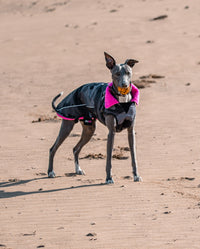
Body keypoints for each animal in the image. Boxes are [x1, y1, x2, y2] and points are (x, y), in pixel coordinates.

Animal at [48, 52, 141, 183]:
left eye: (128, 72)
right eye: (117, 74)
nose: (124, 85)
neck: (122, 102)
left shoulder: (130, 131)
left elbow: (134, 157)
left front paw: (136, 175)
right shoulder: (111, 132)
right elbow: (109, 159)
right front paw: (108, 178)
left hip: (89, 129)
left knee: (75, 149)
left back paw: (78, 169)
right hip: (67, 126)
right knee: (53, 148)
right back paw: (50, 172)